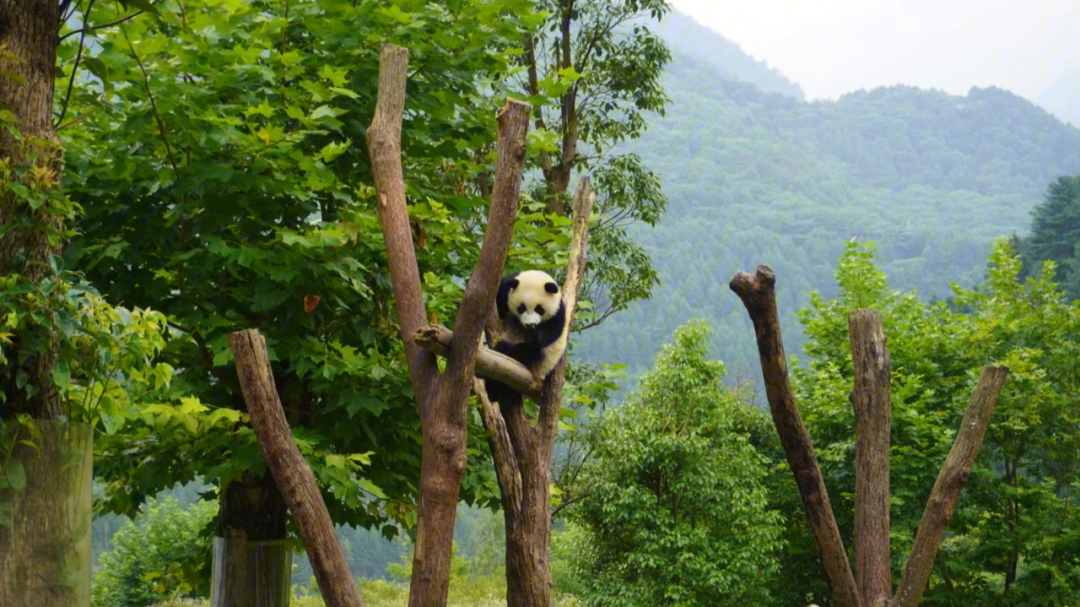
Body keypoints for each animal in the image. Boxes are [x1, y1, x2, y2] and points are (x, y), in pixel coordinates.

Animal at [481, 266, 565, 408]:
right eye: (522, 308)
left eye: (539, 309)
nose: (530, 324)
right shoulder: (506, 289)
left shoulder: (557, 315)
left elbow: (543, 339)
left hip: (539, 362)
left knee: (523, 352)